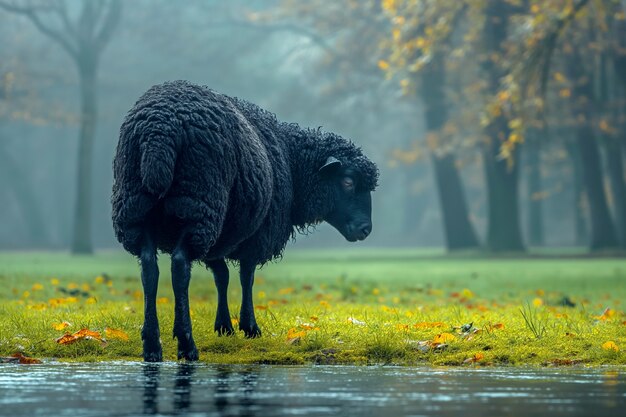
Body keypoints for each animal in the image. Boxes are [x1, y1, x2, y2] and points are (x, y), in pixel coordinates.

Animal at [110, 81, 378, 360]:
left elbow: (222, 276)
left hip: (137, 209)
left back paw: (152, 345)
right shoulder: (257, 235)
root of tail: (159, 134)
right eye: (348, 181)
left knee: (149, 268)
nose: (365, 229)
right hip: (200, 205)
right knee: (180, 265)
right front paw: (249, 326)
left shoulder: (222, 237)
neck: (292, 163)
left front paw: (224, 326)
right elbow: (246, 277)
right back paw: (186, 343)